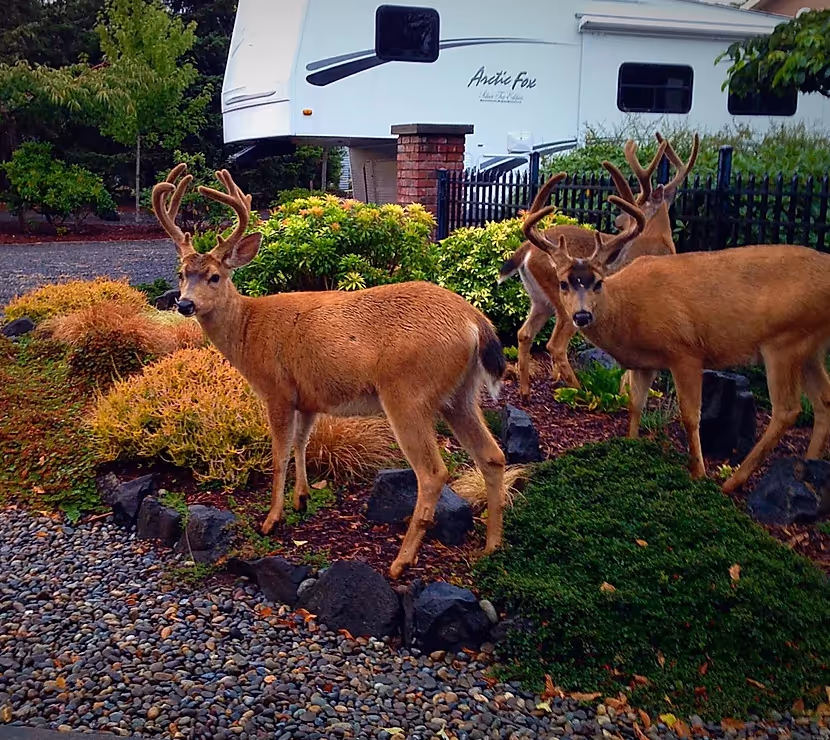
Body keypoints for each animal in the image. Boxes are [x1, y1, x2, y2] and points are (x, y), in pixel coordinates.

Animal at [151, 163, 507, 579]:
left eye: (214, 276)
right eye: (181, 274)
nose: (185, 304)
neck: (247, 331)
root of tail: (475, 322)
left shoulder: (277, 389)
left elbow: (279, 454)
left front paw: (272, 519)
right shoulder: (307, 397)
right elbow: (302, 444)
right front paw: (302, 499)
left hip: (408, 391)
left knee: (433, 473)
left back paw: (400, 562)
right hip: (460, 394)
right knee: (493, 455)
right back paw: (492, 546)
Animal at [498, 132, 699, 400]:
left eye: (637, 202)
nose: (619, 221)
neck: (662, 240)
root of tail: (527, 250)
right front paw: (627, 393)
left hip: (540, 300)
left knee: (525, 333)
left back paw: (527, 390)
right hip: (566, 303)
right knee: (555, 344)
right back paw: (577, 389)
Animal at [521, 178, 830, 495]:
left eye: (597, 282)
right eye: (563, 283)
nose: (582, 316)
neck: (628, 309)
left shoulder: (685, 351)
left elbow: (690, 415)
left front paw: (698, 472)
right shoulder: (645, 363)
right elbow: (635, 405)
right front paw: (629, 446)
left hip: (785, 341)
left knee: (787, 409)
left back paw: (733, 481)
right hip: (810, 345)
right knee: (823, 400)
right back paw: (809, 467)